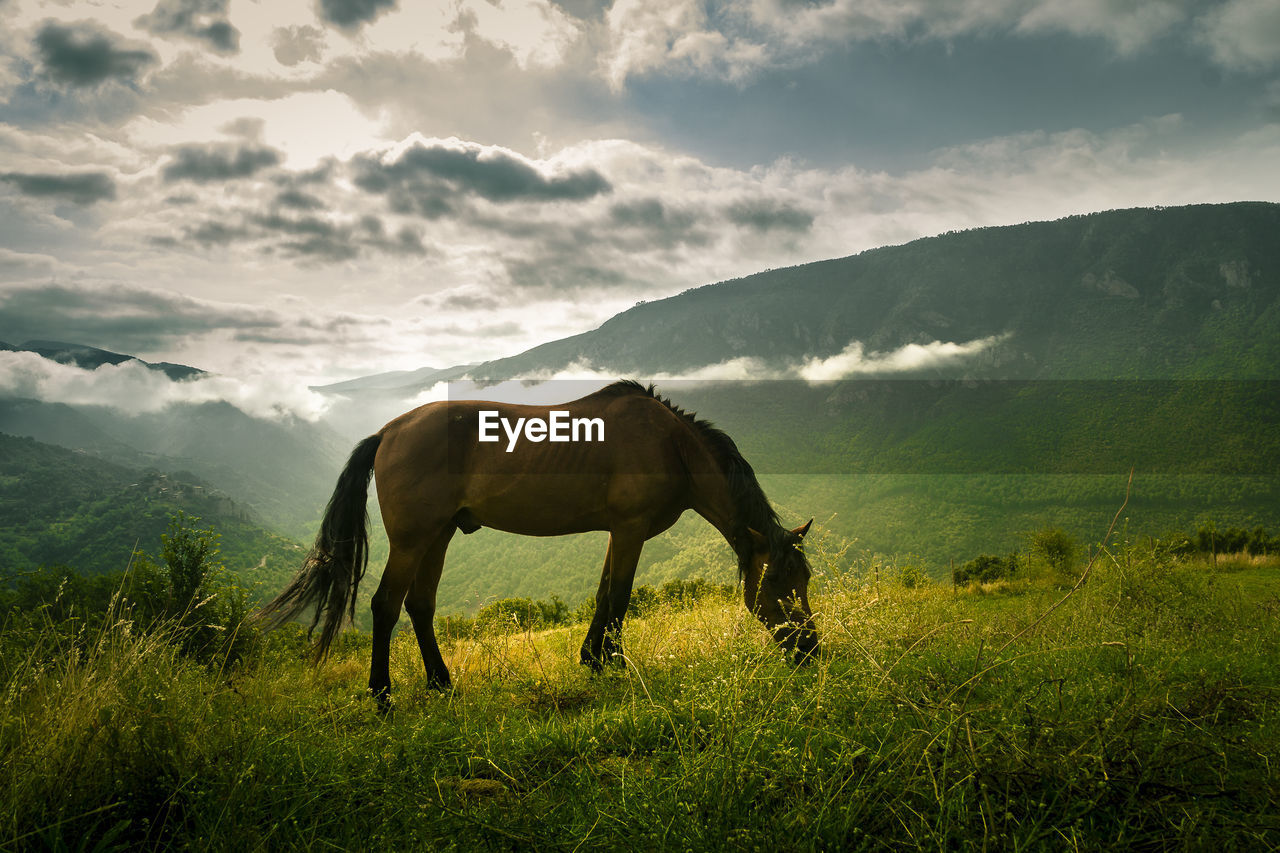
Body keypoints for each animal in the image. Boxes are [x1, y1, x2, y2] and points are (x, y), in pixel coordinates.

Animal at [258, 379, 814, 701]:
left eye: (805, 579)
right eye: (779, 585)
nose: (810, 649)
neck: (671, 444)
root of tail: (389, 430)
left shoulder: (618, 531)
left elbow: (603, 593)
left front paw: (593, 659)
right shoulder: (631, 529)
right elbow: (619, 596)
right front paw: (614, 664)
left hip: (438, 536)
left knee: (420, 605)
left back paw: (441, 683)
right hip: (413, 540)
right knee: (386, 605)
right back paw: (382, 693)